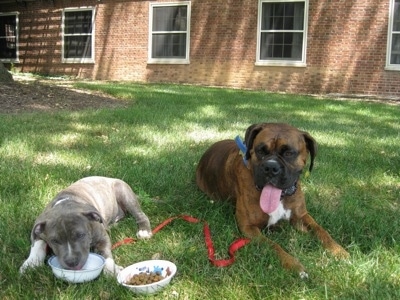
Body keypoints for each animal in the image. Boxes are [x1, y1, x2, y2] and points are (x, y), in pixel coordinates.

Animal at [18, 176, 153, 276]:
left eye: (81, 235)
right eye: (54, 241)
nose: (72, 262)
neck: (66, 204)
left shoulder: (102, 237)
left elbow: (105, 253)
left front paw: (110, 269)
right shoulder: (39, 228)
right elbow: (37, 246)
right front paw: (30, 264)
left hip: (124, 193)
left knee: (140, 215)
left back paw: (144, 231)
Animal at [195, 122, 348, 278]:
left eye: (288, 153)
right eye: (261, 151)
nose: (270, 167)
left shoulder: (301, 216)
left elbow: (321, 231)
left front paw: (339, 251)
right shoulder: (249, 228)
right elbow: (273, 245)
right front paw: (294, 265)